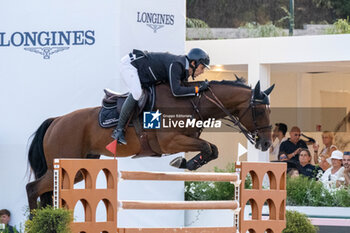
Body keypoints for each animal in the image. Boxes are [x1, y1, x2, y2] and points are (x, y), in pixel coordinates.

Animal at [26, 79, 274, 210]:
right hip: (65, 160)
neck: (192, 104)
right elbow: (207, 148)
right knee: (33, 188)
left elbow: (212, 149)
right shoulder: (170, 142)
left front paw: (186, 163)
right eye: (261, 110)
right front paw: (182, 163)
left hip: (79, 167)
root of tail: (56, 120)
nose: (266, 143)